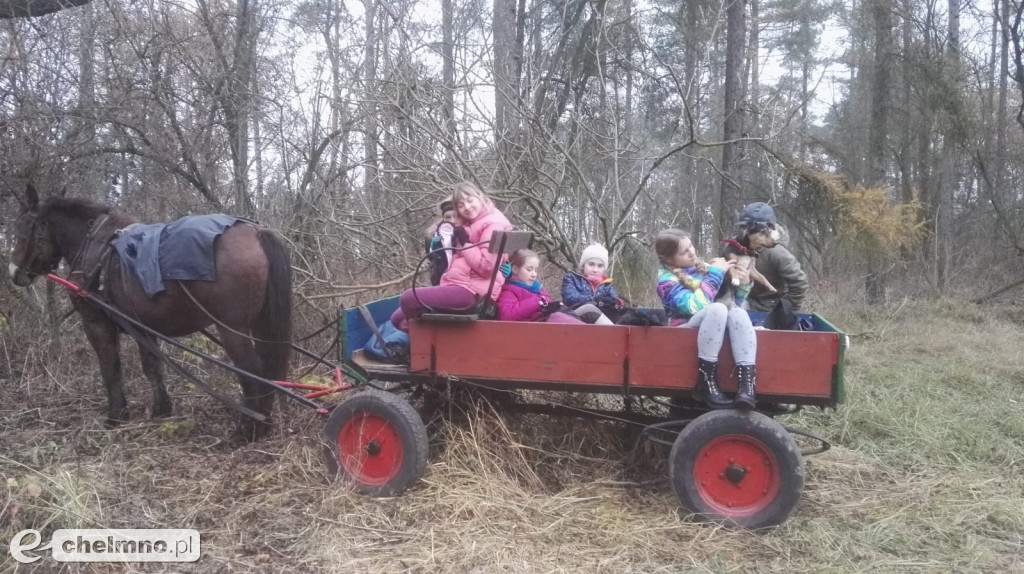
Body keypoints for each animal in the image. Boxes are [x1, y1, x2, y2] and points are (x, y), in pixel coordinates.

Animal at [9, 186, 292, 439]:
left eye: (21, 230)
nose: (14, 272)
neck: (95, 247)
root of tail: (255, 232)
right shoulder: (144, 326)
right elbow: (153, 368)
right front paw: (161, 410)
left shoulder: (97, 323)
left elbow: (110, 368)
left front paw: (116, 416)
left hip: (232, 328)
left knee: (252, 371)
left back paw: (250, 429)